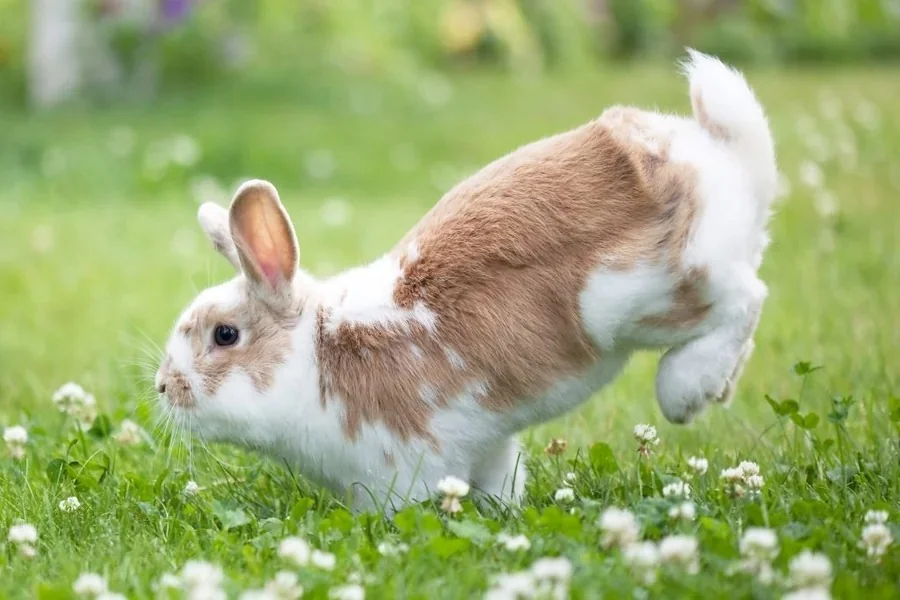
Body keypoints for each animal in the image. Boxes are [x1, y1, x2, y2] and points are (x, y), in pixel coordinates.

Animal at [155, 50, 776, 514]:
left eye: (225, 336)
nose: (163, 387)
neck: (317, 353)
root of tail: (722, 159)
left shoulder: (402, 466)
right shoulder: (487, 445)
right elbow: (500, 480)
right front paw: (503, 512)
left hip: (648, 296)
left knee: (745, 300)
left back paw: (686, 390)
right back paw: (714, 390)